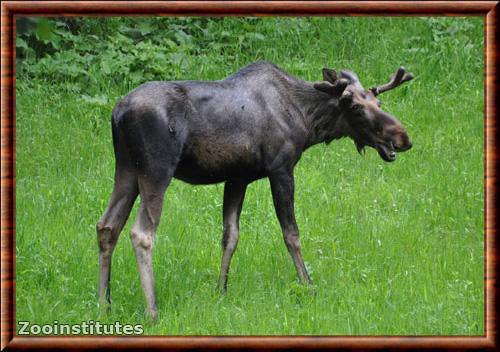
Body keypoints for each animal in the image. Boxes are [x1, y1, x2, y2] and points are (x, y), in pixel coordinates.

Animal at [95, 61, 412, 320]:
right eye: (356, 108)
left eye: (378, 101)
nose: (403, 138)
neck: (307, 121)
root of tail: (117, 113)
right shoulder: (281, 169)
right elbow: (291, 234)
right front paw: (308, 285)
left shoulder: (237, 178)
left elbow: (230, 236)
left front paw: (221, 290)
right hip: (156, 171)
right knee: (141, 233)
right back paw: (152, 311)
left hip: (126, 170)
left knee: (107, 226)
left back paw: (103, 304)